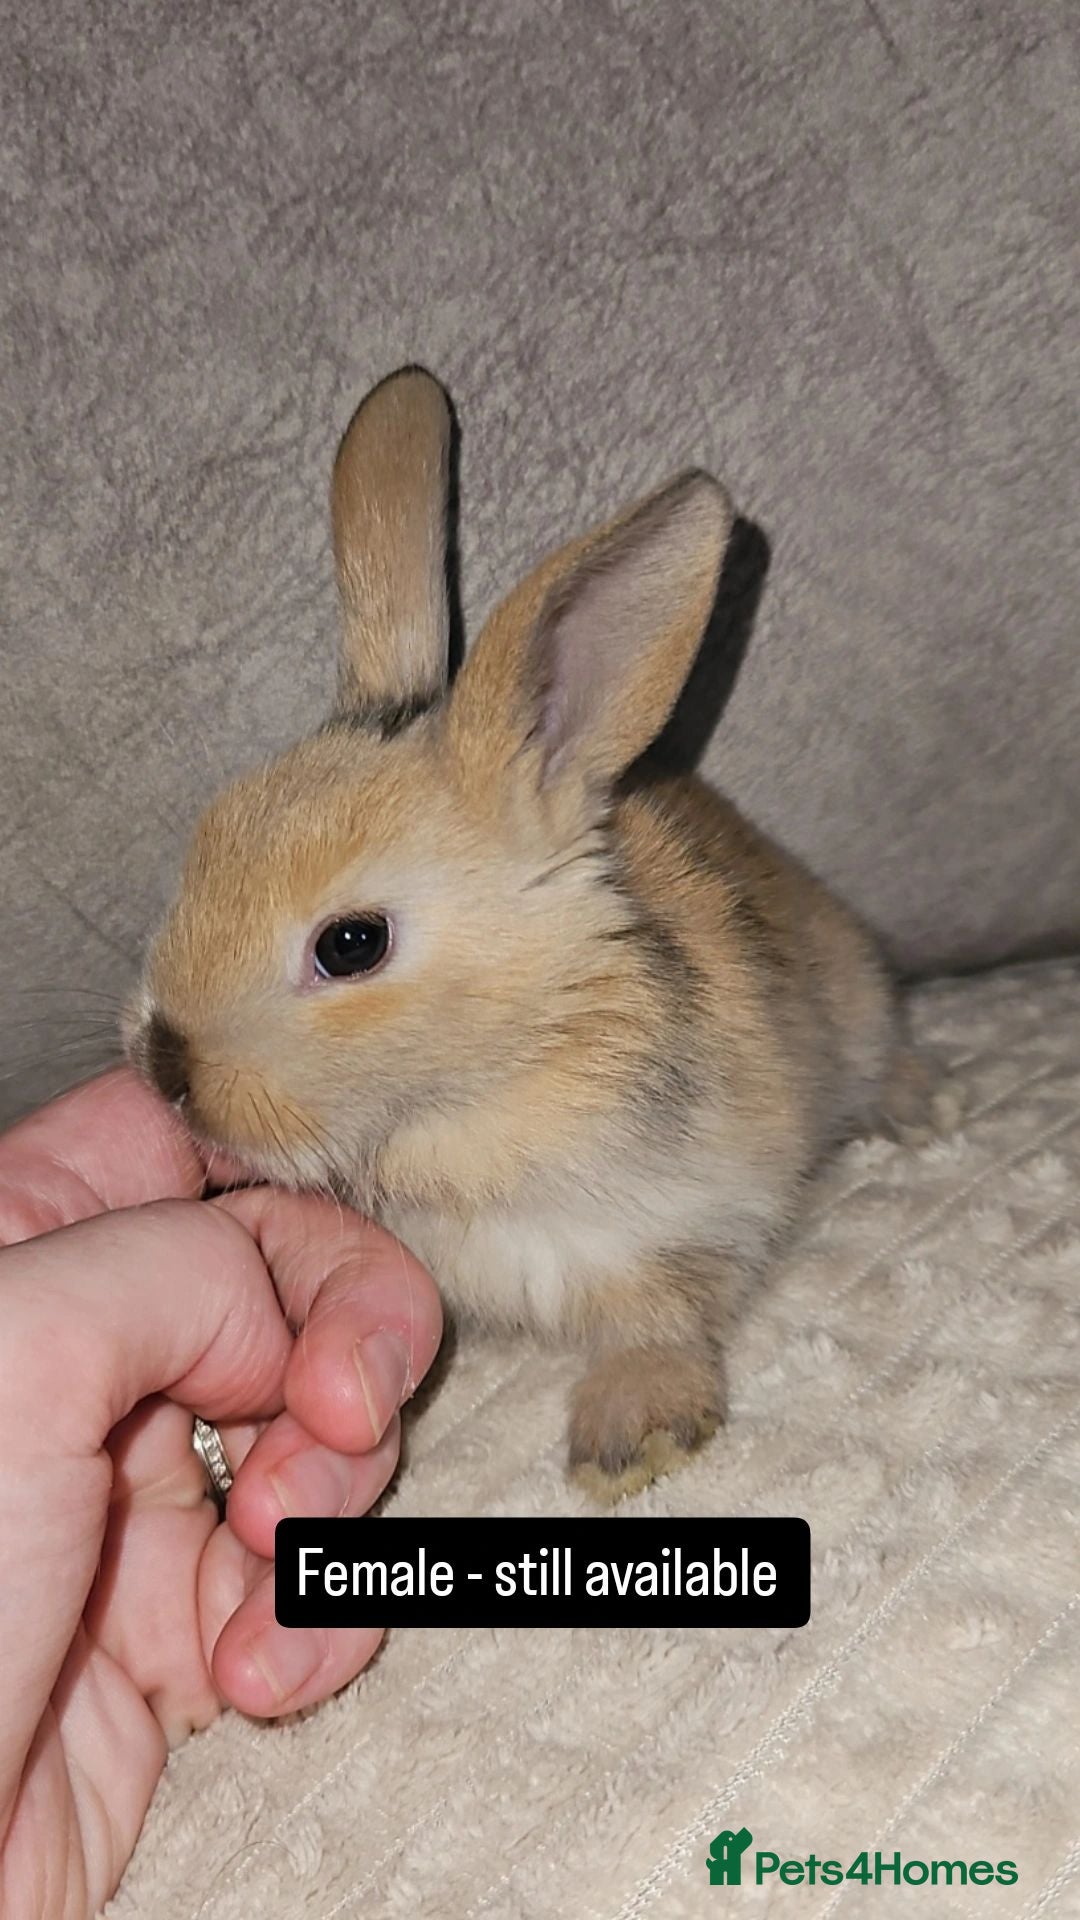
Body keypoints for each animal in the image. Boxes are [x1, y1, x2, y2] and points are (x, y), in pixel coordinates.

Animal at [125, 366, 949, 1501]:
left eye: (351, 945)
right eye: (199, 849)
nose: (166, 1066)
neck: (487, 1081)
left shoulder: (677, 1220)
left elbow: (659, 1318)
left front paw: (634, 1441)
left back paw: (919, 1114)